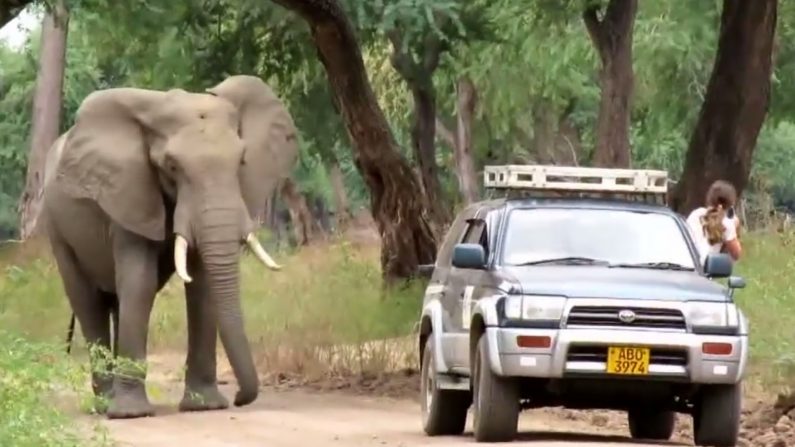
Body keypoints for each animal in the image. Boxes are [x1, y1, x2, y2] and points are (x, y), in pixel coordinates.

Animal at [40, 75, 299, 419]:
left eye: (242, 161)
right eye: (172, 166)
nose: (240, 398)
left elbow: (202, 285)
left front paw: (205, 407)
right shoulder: (128, 193)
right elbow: (140, 282)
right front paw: (132, 415)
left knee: (115, 302)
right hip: (57, 228)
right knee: (88, 301)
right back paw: (106, 406)